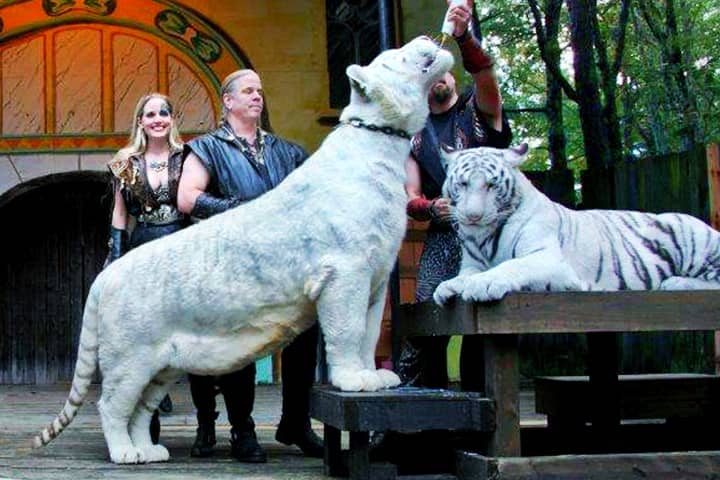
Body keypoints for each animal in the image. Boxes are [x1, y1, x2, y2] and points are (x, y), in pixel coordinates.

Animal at [35, 37, 456, 464]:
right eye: (396, 56)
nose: (427, 39)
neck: (384, 141)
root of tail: (104, 277)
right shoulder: (345, 274)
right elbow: (348, 331)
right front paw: (353, 380)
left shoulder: (374, 280)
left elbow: (369, 334)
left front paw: (375, 376)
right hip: (130, 355)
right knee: (112, 404)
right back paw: (125, 453)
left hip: (161, 365)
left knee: (140, 408)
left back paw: (149, 450)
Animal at [434, 144, 720, 306]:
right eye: (463, 184)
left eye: (491, 185)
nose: (473, 216)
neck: (484, 237)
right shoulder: (472, 264)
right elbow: (463, 275)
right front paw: (447, 287)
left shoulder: (549, 258)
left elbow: (512, 265)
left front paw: (483, 284)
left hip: (692, 236)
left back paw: (677, 283)